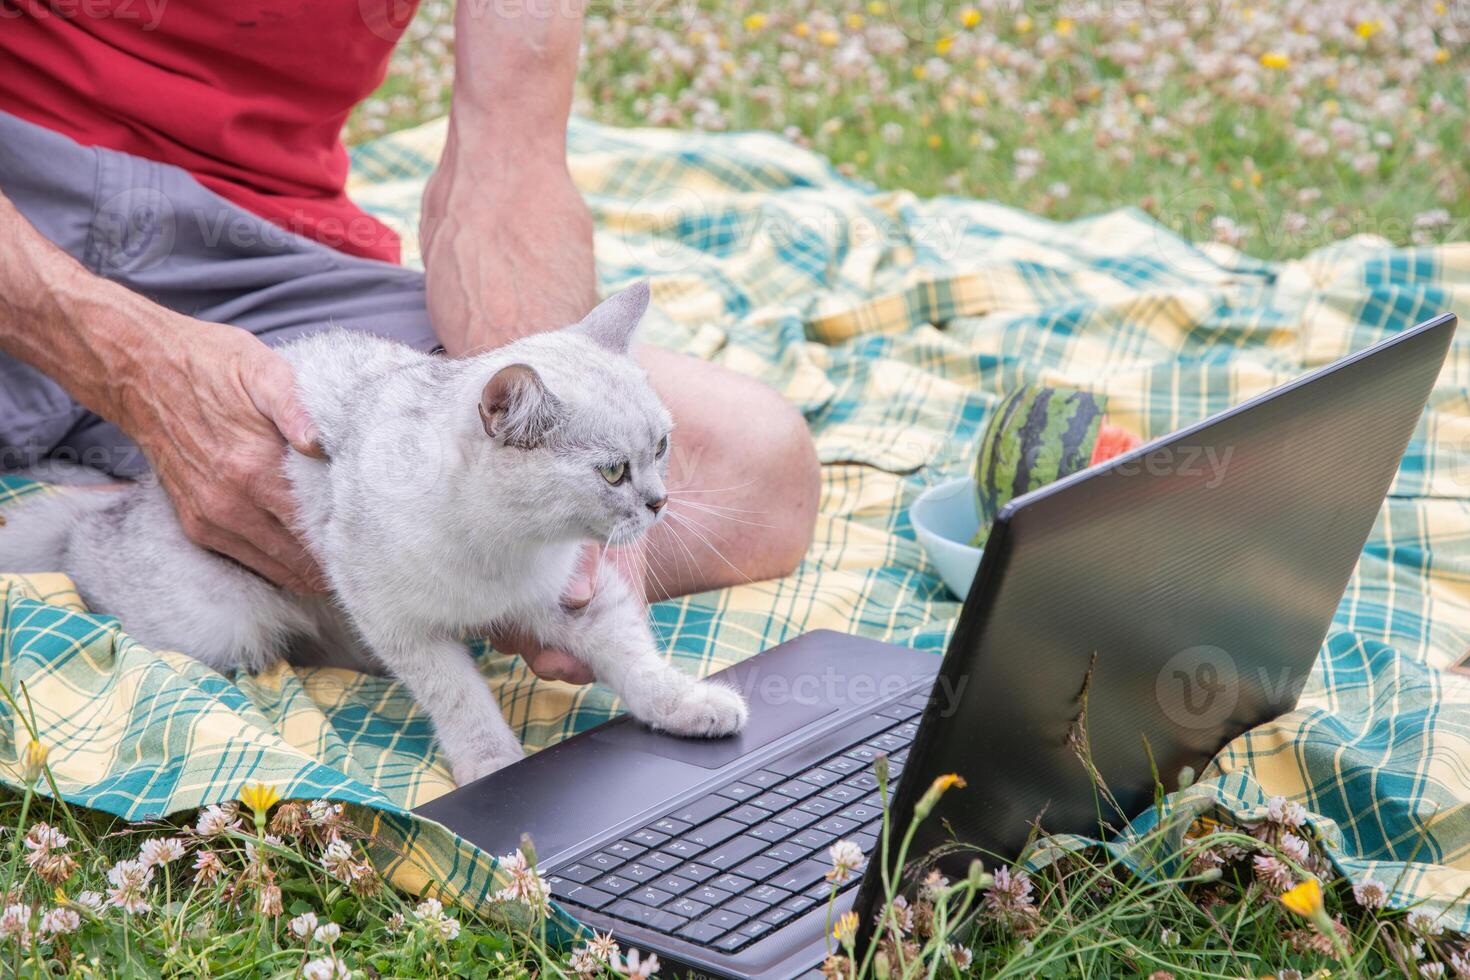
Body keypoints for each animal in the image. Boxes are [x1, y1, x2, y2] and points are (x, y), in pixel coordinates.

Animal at [2, 282, 746, 781]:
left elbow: (637, 662)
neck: (507, 550)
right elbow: (460, 699)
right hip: (215, 616)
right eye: (614, 470)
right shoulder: (400, 625)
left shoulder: (575, 596)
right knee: (87, 556)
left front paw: (690, 705)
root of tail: (138, 494)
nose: (659, 502)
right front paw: (493, 765)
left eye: (662, 445)